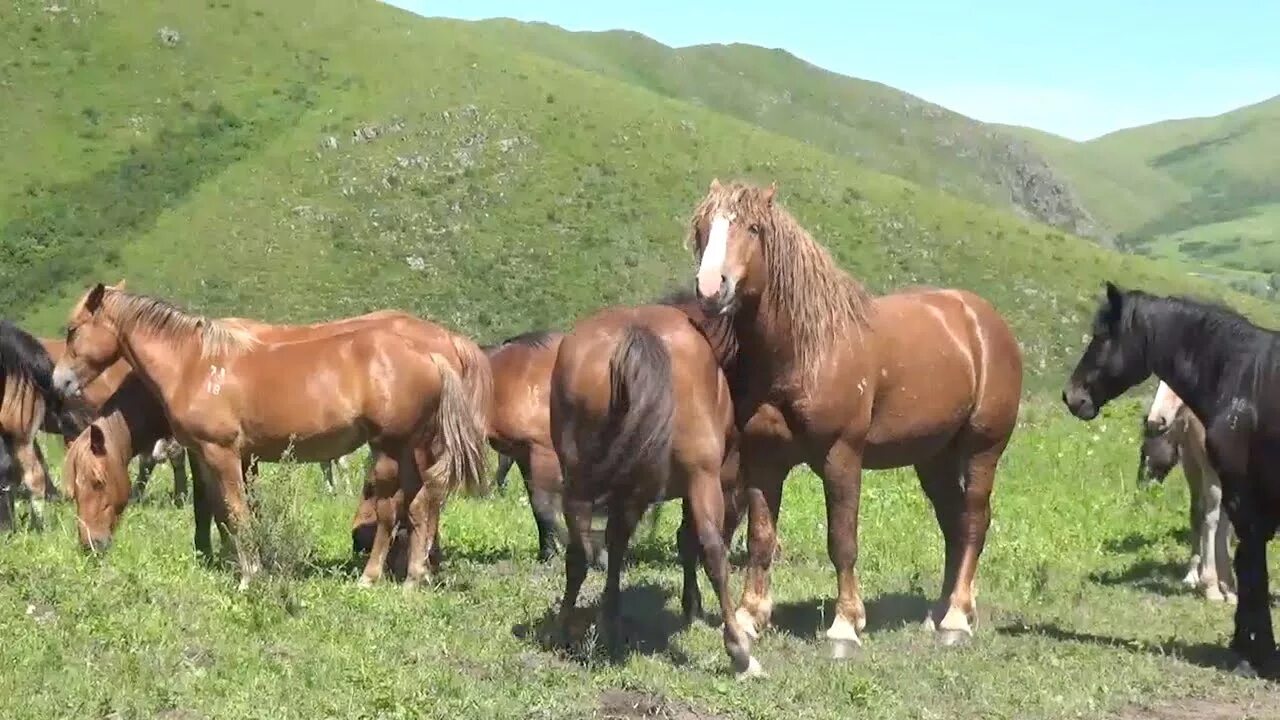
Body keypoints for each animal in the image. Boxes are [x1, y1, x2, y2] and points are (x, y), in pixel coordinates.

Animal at [52, 281, 488, 589]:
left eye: (72, 331)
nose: (91, 545)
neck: (196, 362)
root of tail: (434, 352)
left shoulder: (222, 453)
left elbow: (234, 511)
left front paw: (249, 573)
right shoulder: (219, 456)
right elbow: (221, 509)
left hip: (392, 448)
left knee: (396, 509)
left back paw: (376, 575)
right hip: (410, 449)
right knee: (420, 504)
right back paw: (414, 574)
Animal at [550, 299, 757, 676]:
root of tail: (636, 335)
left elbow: (617, 543)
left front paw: (609, 616)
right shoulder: (704, 480)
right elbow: (689, 540)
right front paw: (692, 605)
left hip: (579, 479)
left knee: (579, 552)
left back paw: (564, 626)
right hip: (701, 477)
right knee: (712, 549)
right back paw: (737, 648)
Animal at [686, 178, 1024, 650]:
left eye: (753, 228)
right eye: (703, 228)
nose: (710, 288)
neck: (807, 350)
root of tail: (987, 324)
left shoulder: (841, 457)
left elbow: (842, 541)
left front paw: (846, 625)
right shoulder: (764, 459)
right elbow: (761, 537)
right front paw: (751, 616)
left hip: (982, 450)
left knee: (973, 521)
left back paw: (957, 618)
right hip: (934, 458)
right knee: (953, 524)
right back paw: (939, 613)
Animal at [1141, 379, 1239, 602]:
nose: (1155, 420)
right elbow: (1212, 519)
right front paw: (1212, 586)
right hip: (1191, 461)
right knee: (1198, 512)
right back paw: (1194, 574)